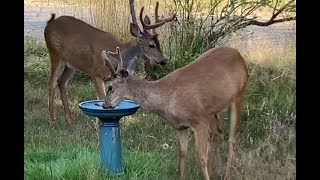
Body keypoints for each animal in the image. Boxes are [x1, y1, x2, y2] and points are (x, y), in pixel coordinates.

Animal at [43, 0, 175, 126]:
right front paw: (99, 124)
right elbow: (101, 98)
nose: (163, 61)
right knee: (52, 83)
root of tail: (49, 24)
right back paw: (51, 120)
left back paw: (69, 120)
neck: (119, 55)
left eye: (159, 43)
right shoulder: (96, 73)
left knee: (61, 82)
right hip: (55, 54)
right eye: (151, 45)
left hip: (71, 65)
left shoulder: (109, 79)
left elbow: (104, 97)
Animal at [102, 46, 250, 180]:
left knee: (231, 139)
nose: (105, 105)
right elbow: (182, 153)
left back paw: (227, 175)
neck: (167, 99)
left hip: (238, 96)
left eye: (110, 87)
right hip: (212, 110)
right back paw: (214, 171)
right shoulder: (181, 126)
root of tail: (239, 55)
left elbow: (201, 157)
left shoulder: (199, 120)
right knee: (217, 133)